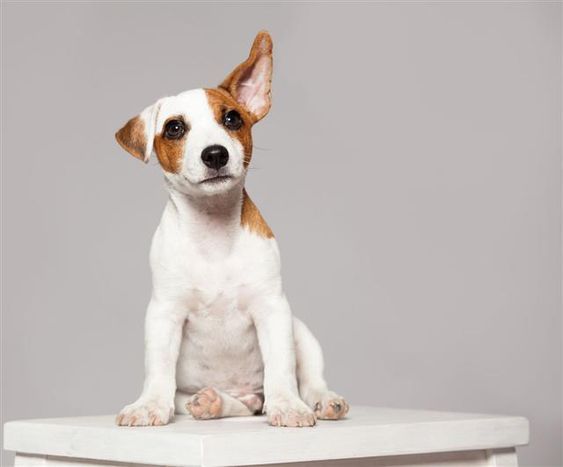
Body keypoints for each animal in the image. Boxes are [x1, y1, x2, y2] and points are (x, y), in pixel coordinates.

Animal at [114, 31, 348, 430]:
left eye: (232, 118)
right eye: (174, 128)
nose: (215, 154)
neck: (213, 229)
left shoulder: (272, 307)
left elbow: (281, 367)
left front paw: (288, 405)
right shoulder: (164, 312)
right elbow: (158, 368)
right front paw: (149, 405)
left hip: (301, 330)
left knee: (309, 378)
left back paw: (322, 400)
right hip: (194, 394)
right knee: (236, 404)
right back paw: (214, 402)